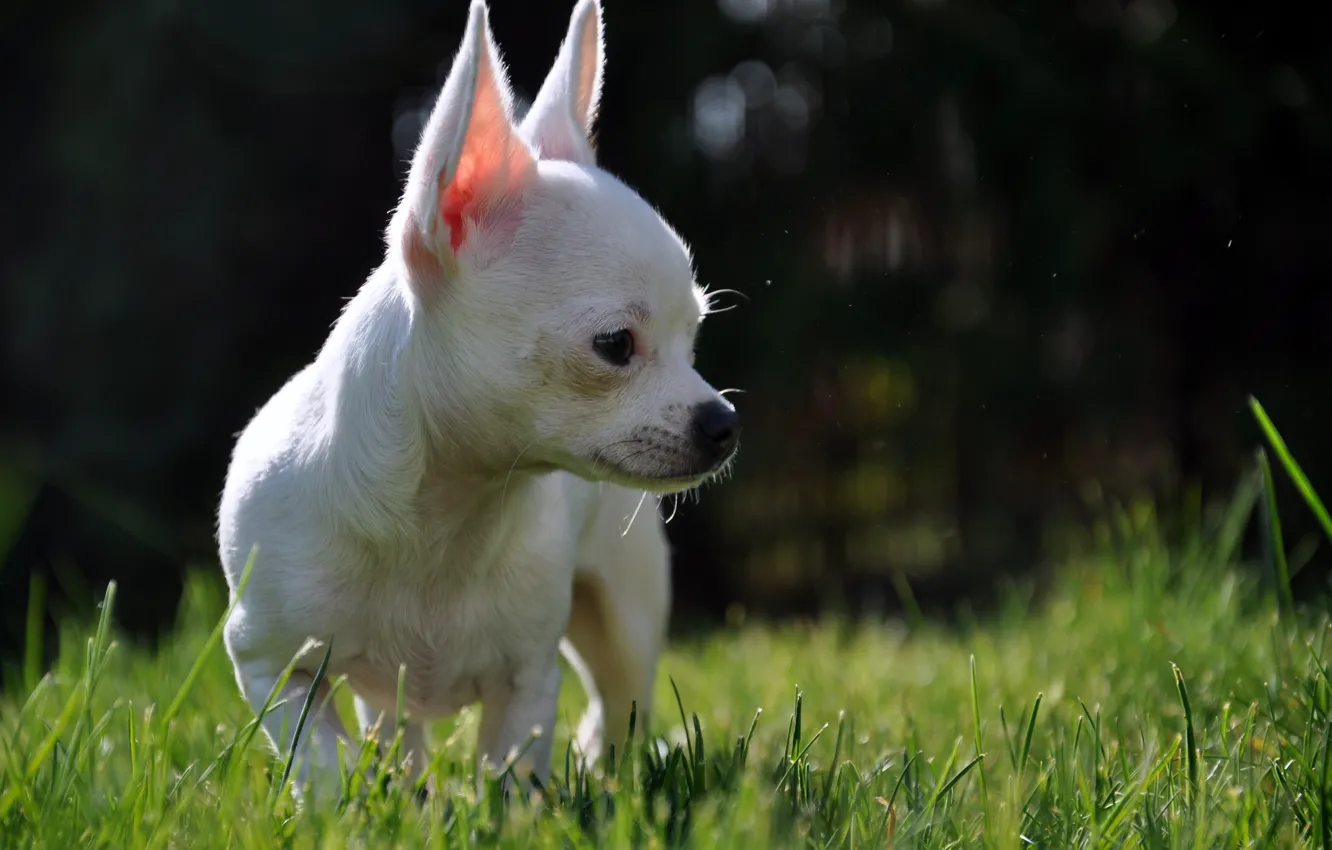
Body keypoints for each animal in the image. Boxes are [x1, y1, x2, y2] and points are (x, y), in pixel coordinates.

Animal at [217, 0, 740, 804]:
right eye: (615, 345)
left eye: (695, 335)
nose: (724, 422)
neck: (445, 518)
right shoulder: (272, 662)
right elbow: (319, 753)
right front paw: (339, 810)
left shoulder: (526, 678)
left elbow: (511, 770)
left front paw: (513, 814)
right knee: (393, 728)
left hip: (624, 612)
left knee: (620, 700)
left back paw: (606, 767)